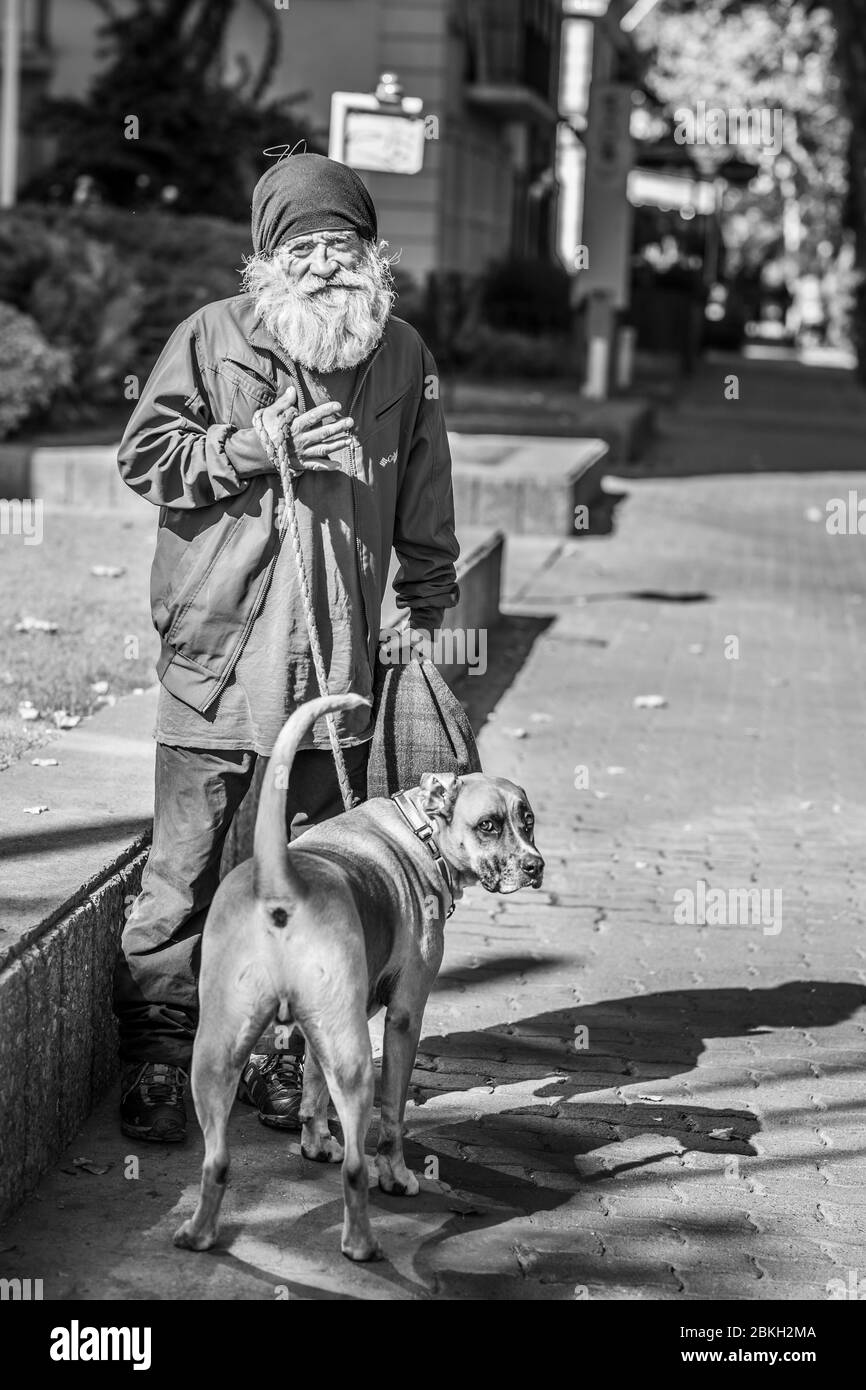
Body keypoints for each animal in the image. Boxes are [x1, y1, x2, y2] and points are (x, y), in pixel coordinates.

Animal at [173, 692, 544, 1262]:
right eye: (488, 825)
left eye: (529, 822)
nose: (535, 865)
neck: (419, 831)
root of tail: (281, 880)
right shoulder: (404, 1017)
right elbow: (393, 1115)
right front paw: (396, 1174)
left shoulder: (317, 1033)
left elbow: (309, 1089)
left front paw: (313, 1143)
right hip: (354, 1061)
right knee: (354, 1168)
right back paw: (361, 1242)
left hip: (217, 1053)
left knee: (216, 1161)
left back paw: (200, 1233)